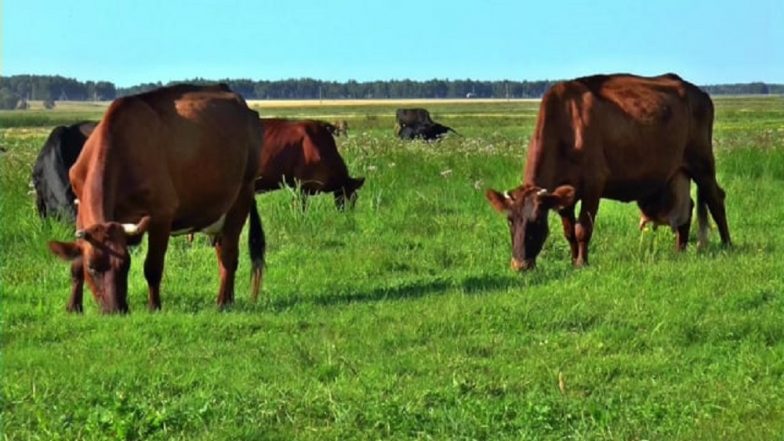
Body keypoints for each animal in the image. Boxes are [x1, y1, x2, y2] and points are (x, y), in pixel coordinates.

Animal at [47, 84, 265, 313]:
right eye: (92, 267)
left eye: (125, 265)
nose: (116, 310)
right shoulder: (80, 207)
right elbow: (75, 262)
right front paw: (73, 307)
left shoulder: (162, 214)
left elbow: (152, 266)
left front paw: (154, 307)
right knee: (222, 251)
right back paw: (228, 299)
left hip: (243, 192)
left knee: (229, 254)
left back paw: (222, 302)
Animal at [485, 73, 731, 271]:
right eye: (510, 220)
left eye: (537, 220)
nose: (519, 265)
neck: (567, 127)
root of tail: (698, 92)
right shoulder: (564, 196)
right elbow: (569, 232)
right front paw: (573, 261)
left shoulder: (593, 185)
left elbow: (582, 229)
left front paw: (582, 263)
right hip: (676, 173)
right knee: (686, 209)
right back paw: (679, 250)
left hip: (702, 163)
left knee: (716, 199)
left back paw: (728, 244)